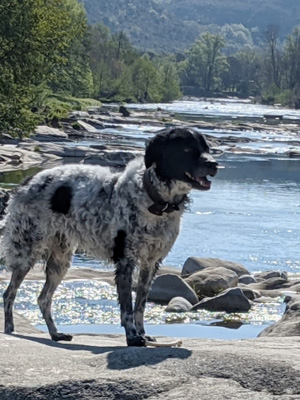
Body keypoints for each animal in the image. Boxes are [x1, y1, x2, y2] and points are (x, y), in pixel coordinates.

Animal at [2, 127, 218, 344]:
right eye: (186, 149)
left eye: (207, 148)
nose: (214, 164)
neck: (156, 202)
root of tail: (27, 182)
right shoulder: (125, 260)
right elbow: (127, 308)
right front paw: (132, 337)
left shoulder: (150, 262)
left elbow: (140, 305)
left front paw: (142, 333)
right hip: (27, 251)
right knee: (9, 293)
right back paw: (10, 329)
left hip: (60, 262)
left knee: (43, 298)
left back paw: (55, 333)